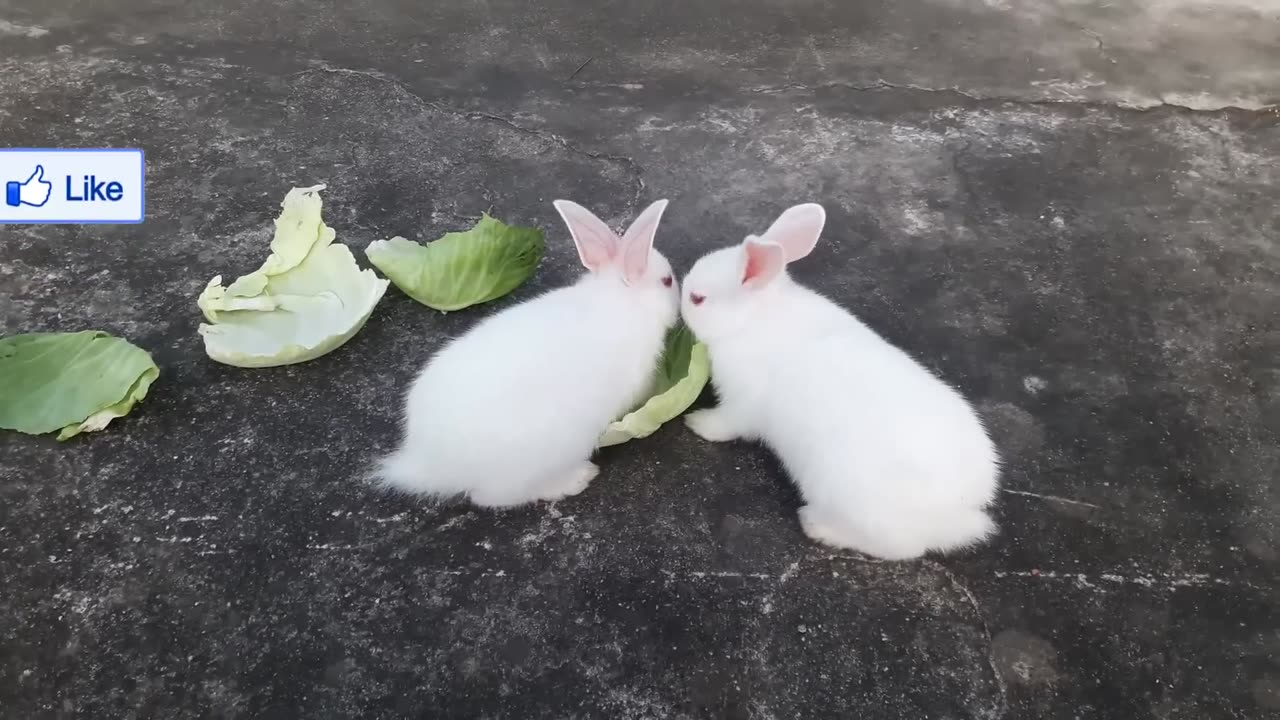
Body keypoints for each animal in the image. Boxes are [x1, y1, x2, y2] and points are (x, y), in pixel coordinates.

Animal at [680, 203, 998, 561]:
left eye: (697, 298)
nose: (680, 296)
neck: (752, 319)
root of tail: (960, 514)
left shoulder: (741, 403)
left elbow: (727, 425)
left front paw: (697, 423)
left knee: (900, 548)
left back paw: (817, 526)